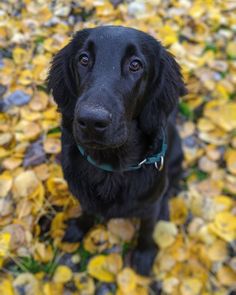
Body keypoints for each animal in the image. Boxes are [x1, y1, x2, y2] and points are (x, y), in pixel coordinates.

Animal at [47, 25, 186, 276]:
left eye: (135, 65)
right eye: (83, 59)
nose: (92, 121)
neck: (110, 167)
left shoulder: (149, 205)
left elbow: (147, 229)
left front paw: (144, 254)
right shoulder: (84, 195)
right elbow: (87, 210)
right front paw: (78, 228)